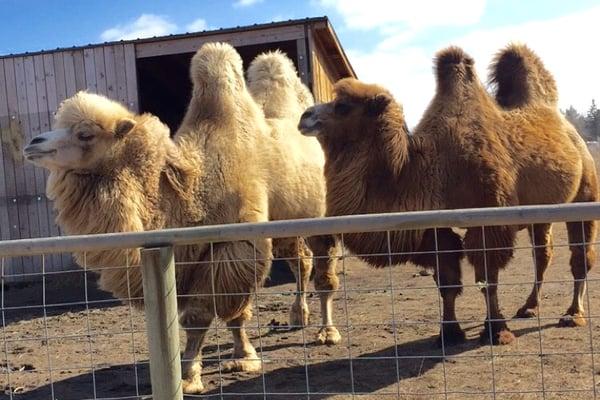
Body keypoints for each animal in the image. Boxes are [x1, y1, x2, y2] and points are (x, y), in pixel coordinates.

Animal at [21, 41, 330, 394]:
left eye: (85, 134)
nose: (33, 143)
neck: (195, 185)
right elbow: (229, 314)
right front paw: (237, 356)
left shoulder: (236, 245)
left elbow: (203, 315)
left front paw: (192, 375)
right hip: (288, 227)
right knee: (301, 262)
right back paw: (298, 316)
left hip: (320, 217)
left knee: (323, 271)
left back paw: (327, 332)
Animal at [298, 43, 596, 344]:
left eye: (342, 106)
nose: (304, 116)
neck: (425, 169)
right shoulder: (433, 229)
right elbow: (447, 283)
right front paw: (450, 331)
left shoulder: (489, 221)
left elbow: (487, 280)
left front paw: (496, 329)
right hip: (540, 213)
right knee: (543, 255)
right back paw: (529, 307)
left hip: (585, 193)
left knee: (579, 257)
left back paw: (573, 314)